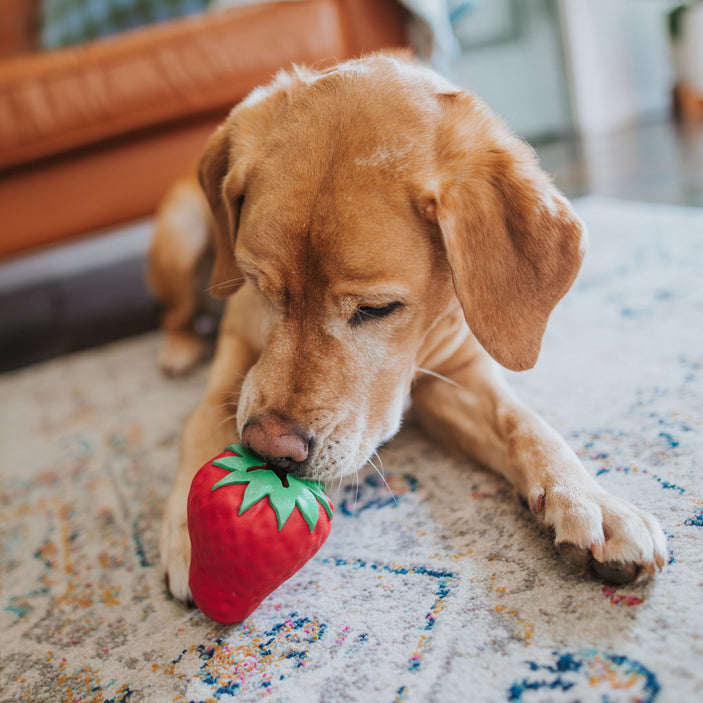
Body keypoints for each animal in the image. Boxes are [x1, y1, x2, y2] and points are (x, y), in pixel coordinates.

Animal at [151, 56, 668, 604]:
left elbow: (528, 426)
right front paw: (190, 534)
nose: (271, 449)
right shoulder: (236, 347)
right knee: (175, 313)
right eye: (256, 284)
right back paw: (178, 348)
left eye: (379, 308)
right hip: (180, 237)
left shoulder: (458, 377)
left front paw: (592, 501)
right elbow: (203, 420)